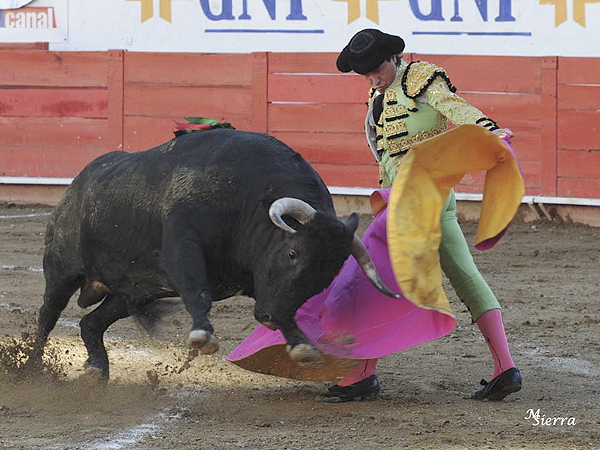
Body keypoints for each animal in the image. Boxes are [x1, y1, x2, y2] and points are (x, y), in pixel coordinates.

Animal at [31, 128, 398, 378]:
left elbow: (283, 305)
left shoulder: (259, 282)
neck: (248, 199)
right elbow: (197, 290)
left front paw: (302, 346)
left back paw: (98, 369)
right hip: (62, 269)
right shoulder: (183, 245)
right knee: (47, 315)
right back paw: (31, 366)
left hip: (131, 291)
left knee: (91, 323)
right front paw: (202, 336)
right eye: (293, 253)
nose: (267, 317)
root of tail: (76, 185)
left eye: (326, 278)